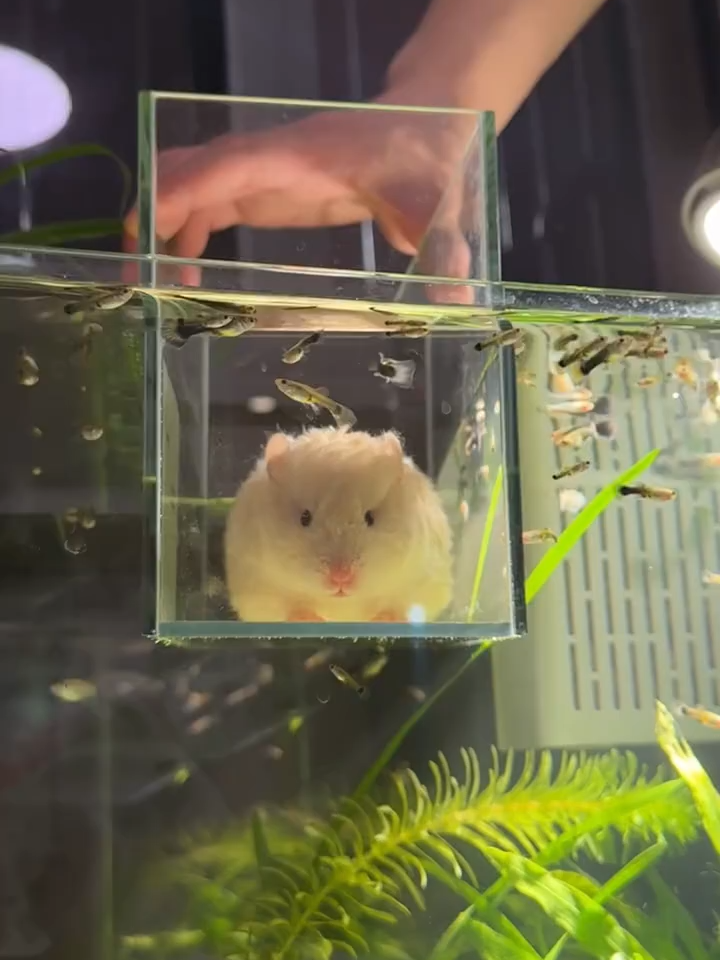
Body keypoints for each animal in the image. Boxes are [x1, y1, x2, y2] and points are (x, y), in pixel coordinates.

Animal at [224, 426, 454, 623]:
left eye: (370, 518)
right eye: (305, 518)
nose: (341, 577)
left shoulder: (420, 581)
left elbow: (397, 607)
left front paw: (382, 619)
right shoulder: (260, 590)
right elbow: (293, 608)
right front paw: (311, 619)